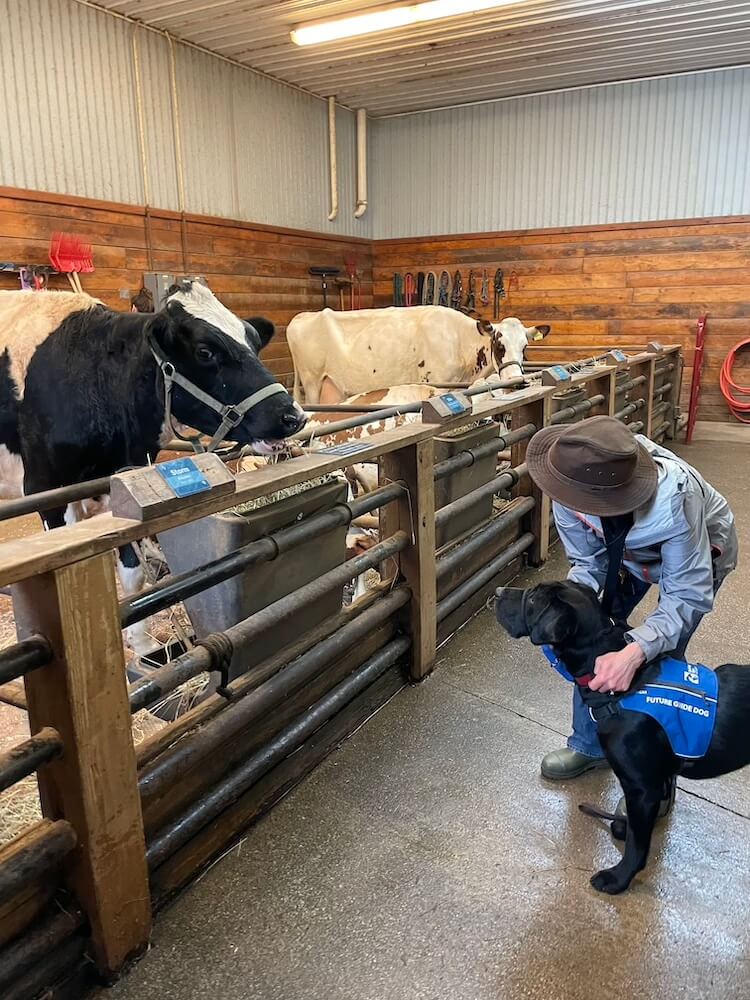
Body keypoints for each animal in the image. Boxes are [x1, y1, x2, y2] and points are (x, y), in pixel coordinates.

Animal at [0, 282, 308, 652]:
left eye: (252, 341)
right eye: (205, 351)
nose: (293, 416)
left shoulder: (119, 482)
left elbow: (133, 573)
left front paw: (143, 646)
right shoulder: (44, 488)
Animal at [288, 304, 552, 402]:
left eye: (525, 347)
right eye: (499, 345)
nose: (517, 381)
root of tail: (301, 317)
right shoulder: (439, 385)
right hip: (312, 383)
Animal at [496, 584, 750, 896]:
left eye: (532, 599)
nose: (497, 591)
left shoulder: (642, 789)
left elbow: (636, 845)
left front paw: (618, 878)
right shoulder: (657, 781)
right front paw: (621, 828)